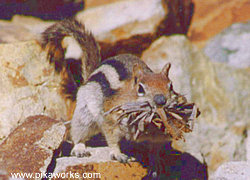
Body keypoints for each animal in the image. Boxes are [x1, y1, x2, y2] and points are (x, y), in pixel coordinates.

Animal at [40, 19, 186, 162]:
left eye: (171, 86)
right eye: (140, 88)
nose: (161, 100)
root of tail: (90, 75)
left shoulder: (159, 136)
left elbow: (155, 150)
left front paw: (156, 163)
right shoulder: (110, 117)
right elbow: (112, 139)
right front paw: (117, 153)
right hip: (84, 115)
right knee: (78, 134)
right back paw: (80, 148)